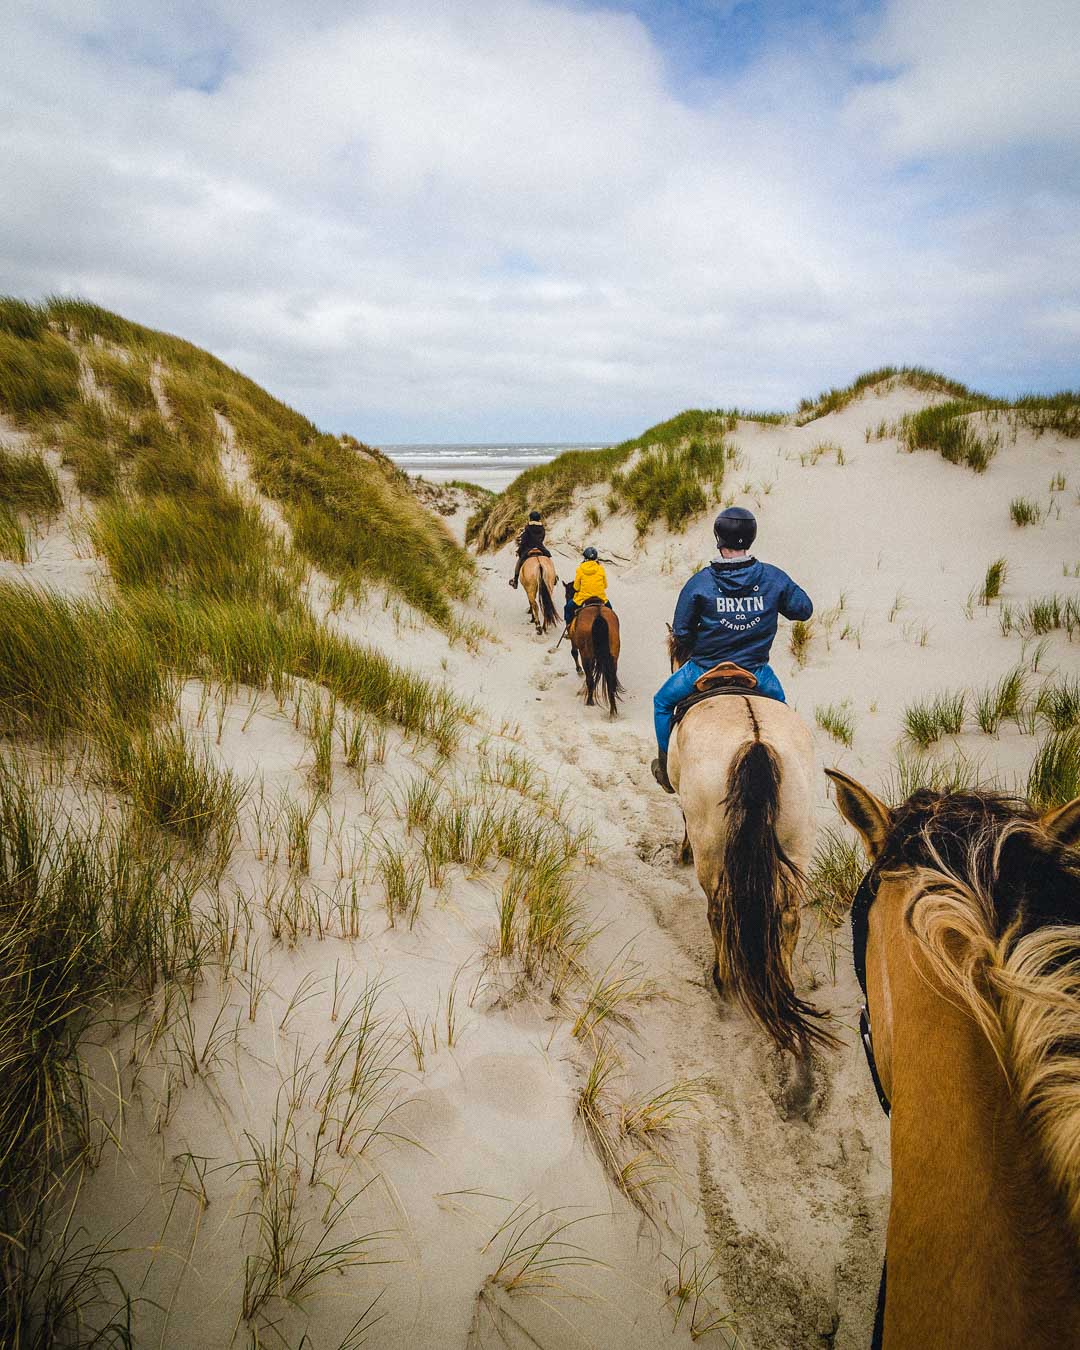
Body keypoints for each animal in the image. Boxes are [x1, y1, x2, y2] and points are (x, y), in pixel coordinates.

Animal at [666, 631, 837, 1096]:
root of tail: (756, 741)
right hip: (796, 840)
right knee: (789, 916)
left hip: (713, 850)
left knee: (719, 910)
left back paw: (722, 980)